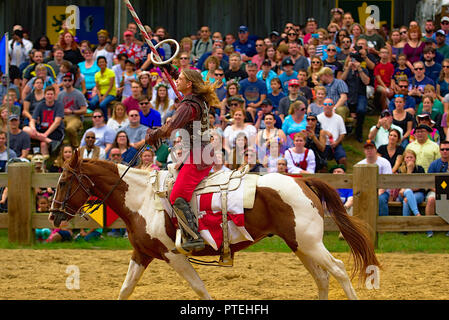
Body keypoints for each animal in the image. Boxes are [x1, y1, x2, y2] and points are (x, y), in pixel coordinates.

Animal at [48, 152, 378, 300]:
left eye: (63, 182)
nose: (52, 215)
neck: (143, 200)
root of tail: (303, 181)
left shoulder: (174, 255)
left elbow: (199, 287)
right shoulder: (141, 254)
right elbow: (125, 289)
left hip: (310, 243)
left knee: (338, 270)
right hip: (299, 245)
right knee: (322, 277)